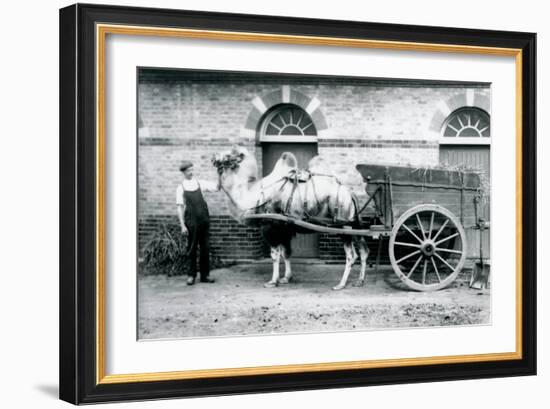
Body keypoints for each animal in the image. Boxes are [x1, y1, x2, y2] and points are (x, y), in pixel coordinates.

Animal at [212, 145, 370, 288]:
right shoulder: (284, 227)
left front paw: (272, 281)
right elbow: (286, 253)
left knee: (351, 255)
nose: (213, 158)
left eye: (228, 156)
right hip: (353, 224)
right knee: (364, 250)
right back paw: (360, 281)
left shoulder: (270, 225)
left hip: (343, 225)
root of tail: (350, 194)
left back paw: (341, 284)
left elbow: (275, 255)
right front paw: (286, 278)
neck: (253, 195)